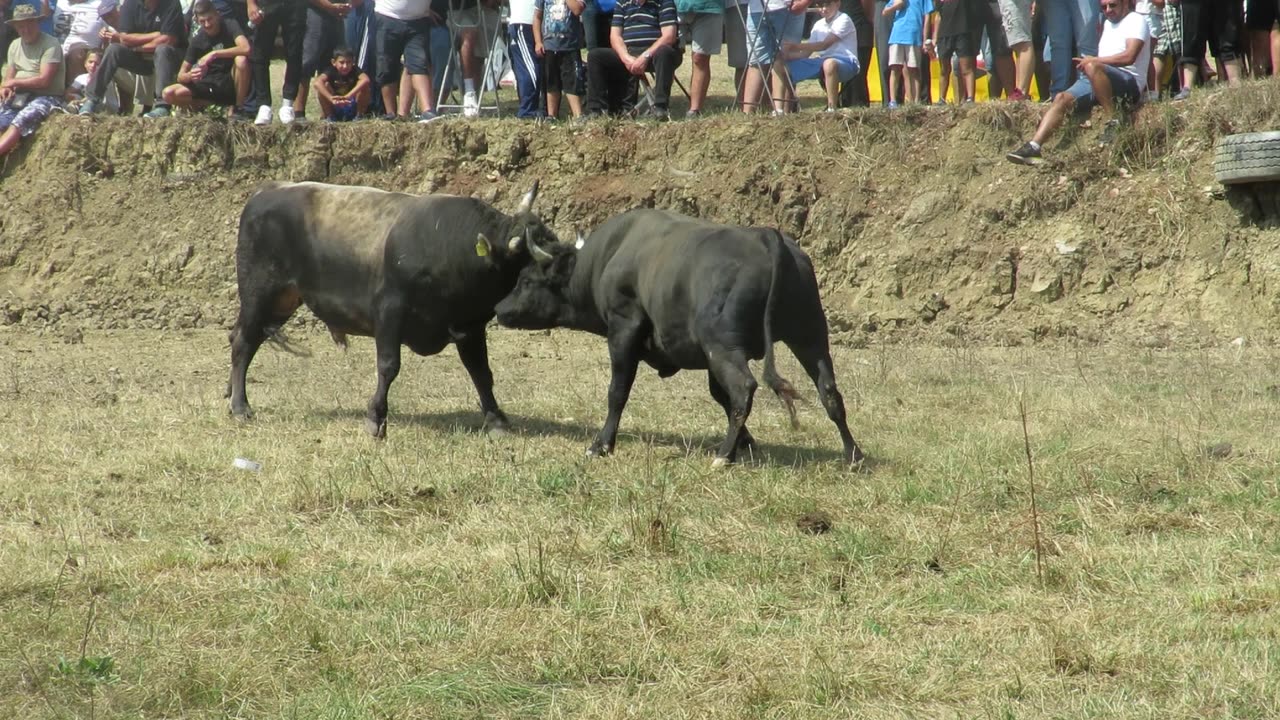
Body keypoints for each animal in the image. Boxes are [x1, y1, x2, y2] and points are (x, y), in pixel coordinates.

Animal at [227, 181, 558, 435]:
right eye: (530, 262)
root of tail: (267, 190)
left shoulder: (471, 325)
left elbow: (481, 372)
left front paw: (496, 420)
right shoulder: (389, 312)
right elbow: (388, 366)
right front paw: (376, 418)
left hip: (280, 301)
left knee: (242, 338)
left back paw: (230, 394)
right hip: (260, 294)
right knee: (243, 342)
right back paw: (241, 406)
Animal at [494, 207, 865, 466]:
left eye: (526, 280)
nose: (499, 309)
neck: (608, 257)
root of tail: (765, 237)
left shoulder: (623, 329)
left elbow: (617, 392)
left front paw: (601, 445)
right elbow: (719, 396)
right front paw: (747, 442)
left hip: (724, 346)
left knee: (744, 388)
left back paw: (722, 456)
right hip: (810, 336)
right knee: (829, 391)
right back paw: (853, 454)